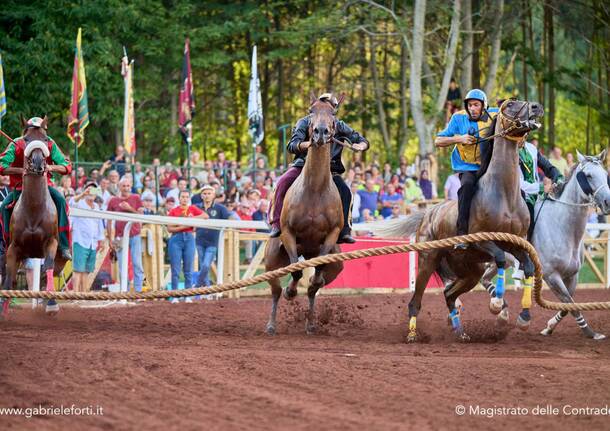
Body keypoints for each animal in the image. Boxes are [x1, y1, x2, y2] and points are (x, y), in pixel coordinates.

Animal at [264, 96, 344, 336]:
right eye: (311, 111)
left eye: (333, 113)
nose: (320, 132)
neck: (315, 190)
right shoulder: (288, 233)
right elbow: (296, 272)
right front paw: (291, 291)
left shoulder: (332, 235)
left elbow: (316, 275)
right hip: (271, 261)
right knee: (275, 290)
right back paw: (272, 324)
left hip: (335, 265)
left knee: (313, 286)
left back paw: (310, 323)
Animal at [376, 99, 540, 342]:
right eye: (510, 104)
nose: (537, 107)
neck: (504, 194)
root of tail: (428, 214)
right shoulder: (482, 241)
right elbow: (501, 259)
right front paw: (497, 304)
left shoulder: (514, 243)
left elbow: (528, 267)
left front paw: (525, 317)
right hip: (428, 261)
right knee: (416, 301)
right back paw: (413, 334)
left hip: (470, 270)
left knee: (449, 294)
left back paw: (460, 331)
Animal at [480, 150, 608, 340]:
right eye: (588, 175)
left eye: (605, 174)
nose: (608, 202)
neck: (563, 227)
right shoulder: (551, 275)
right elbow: (570, 303)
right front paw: (590, 332)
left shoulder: (572, 275)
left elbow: (568, 304)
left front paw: (549, 327)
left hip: (501, 259)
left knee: (485, 279)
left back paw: (500, 308)